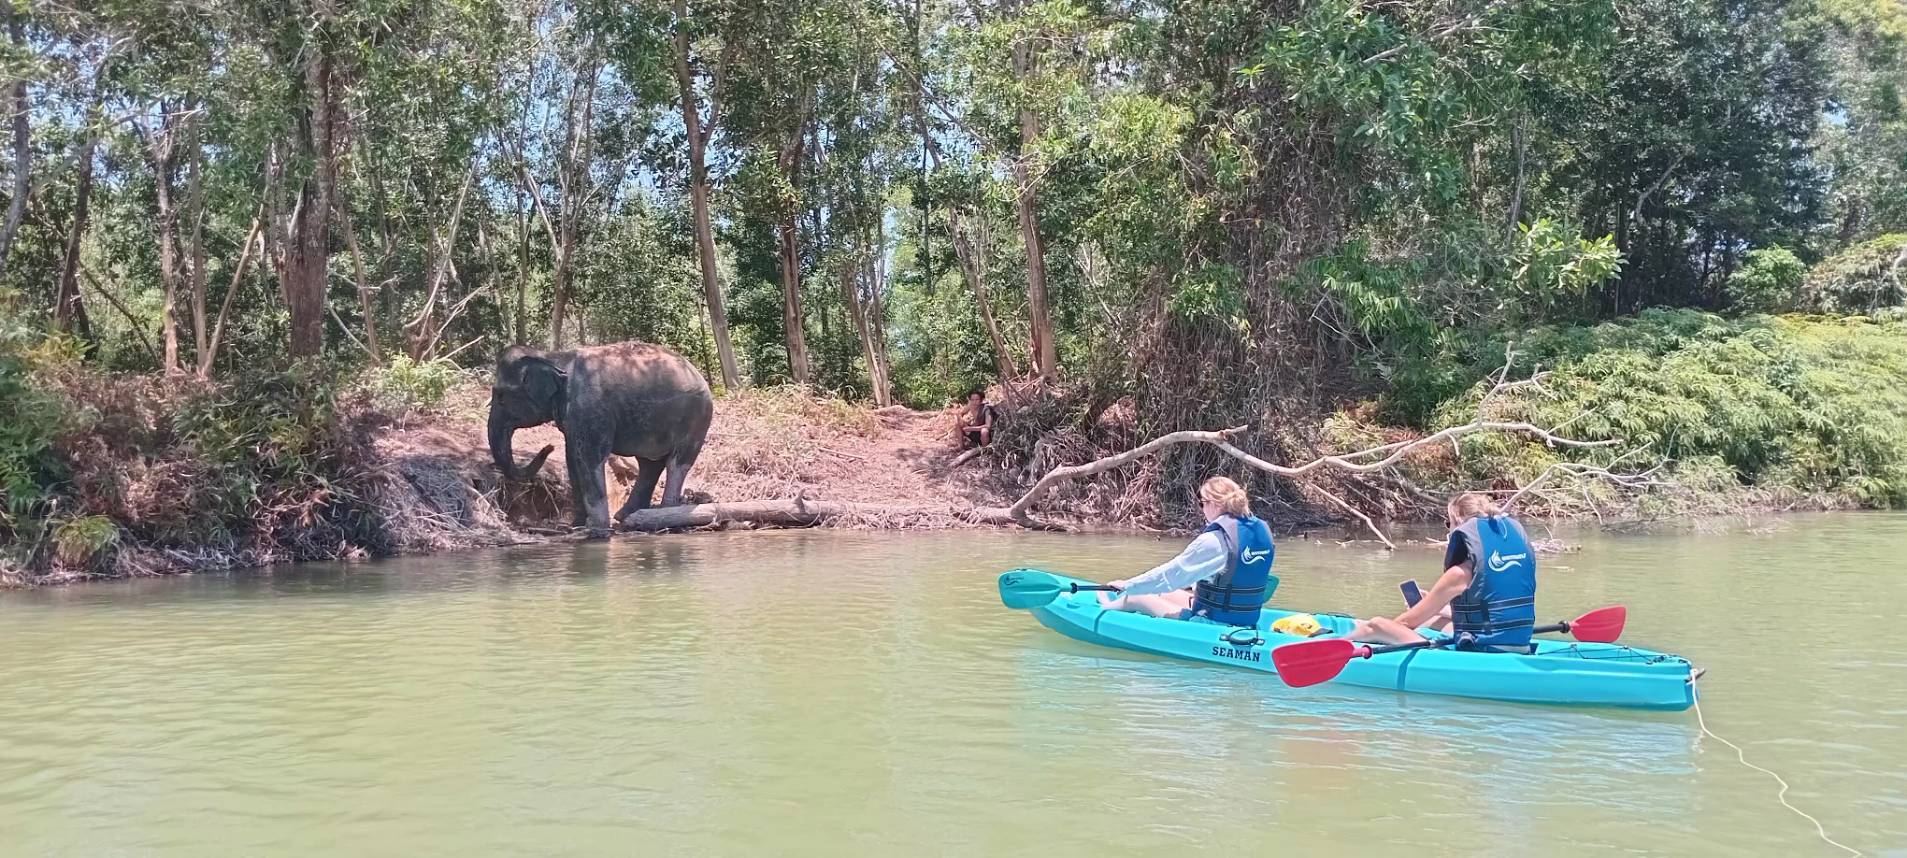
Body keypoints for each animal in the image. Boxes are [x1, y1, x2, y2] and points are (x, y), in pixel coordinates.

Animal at [487, 341, 715, 538]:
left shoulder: (590, 409)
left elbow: (589, 459)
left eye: (501, 396)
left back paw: (666, 517)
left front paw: (597, 531)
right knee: (649, 464)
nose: (548, 447)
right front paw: (575, 526)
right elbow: (572, 460)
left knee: (676, 463)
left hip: (696, 419)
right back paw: (627, 516)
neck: (552, 357)